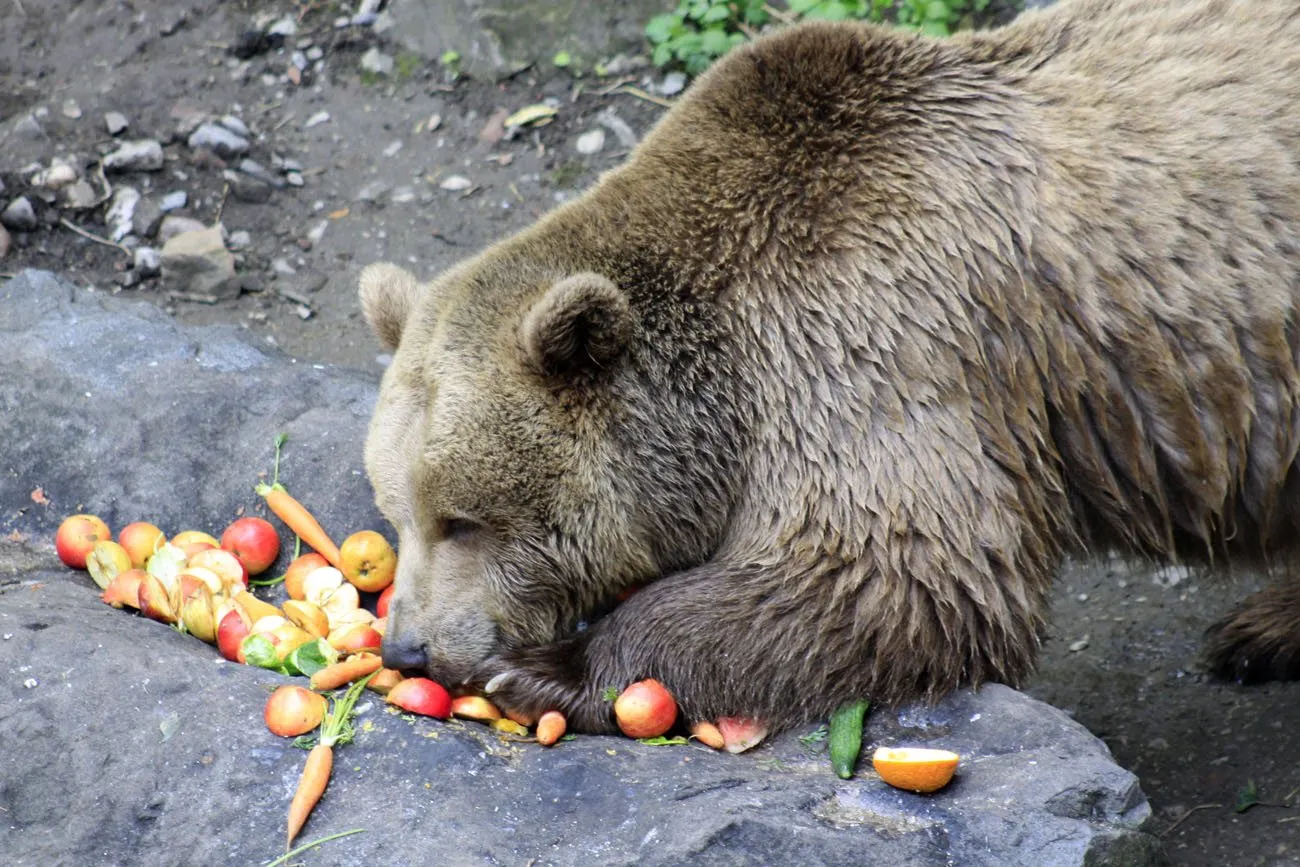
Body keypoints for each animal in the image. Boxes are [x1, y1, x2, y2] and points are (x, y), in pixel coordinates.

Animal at [358, 0, 1300, 734]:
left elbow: (895, 575)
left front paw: (551, 668)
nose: (409, 645)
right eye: (397, 511)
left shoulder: (871, 333)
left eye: (464, 519)